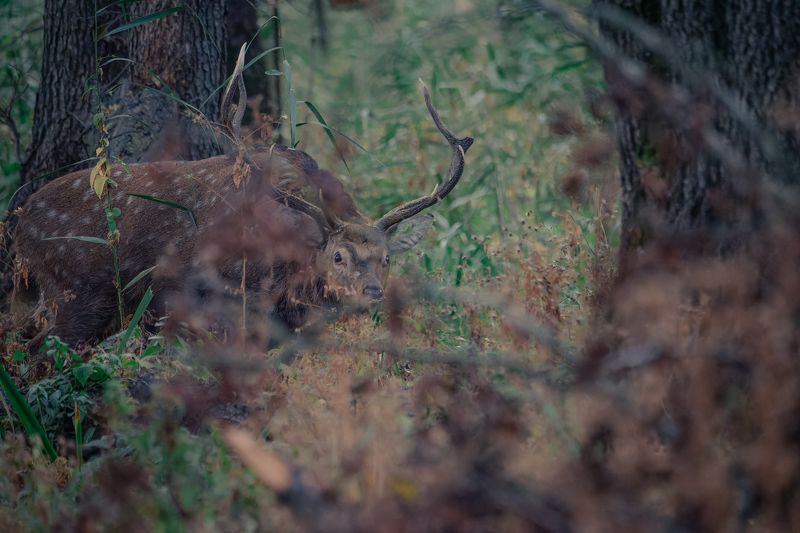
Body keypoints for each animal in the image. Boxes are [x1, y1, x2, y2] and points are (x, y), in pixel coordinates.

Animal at [10, 46, 474, 350]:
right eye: (338, 255)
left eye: (387, 257)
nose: (372, 293)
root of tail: (18, 225)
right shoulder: (216, 305)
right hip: (77, 291)